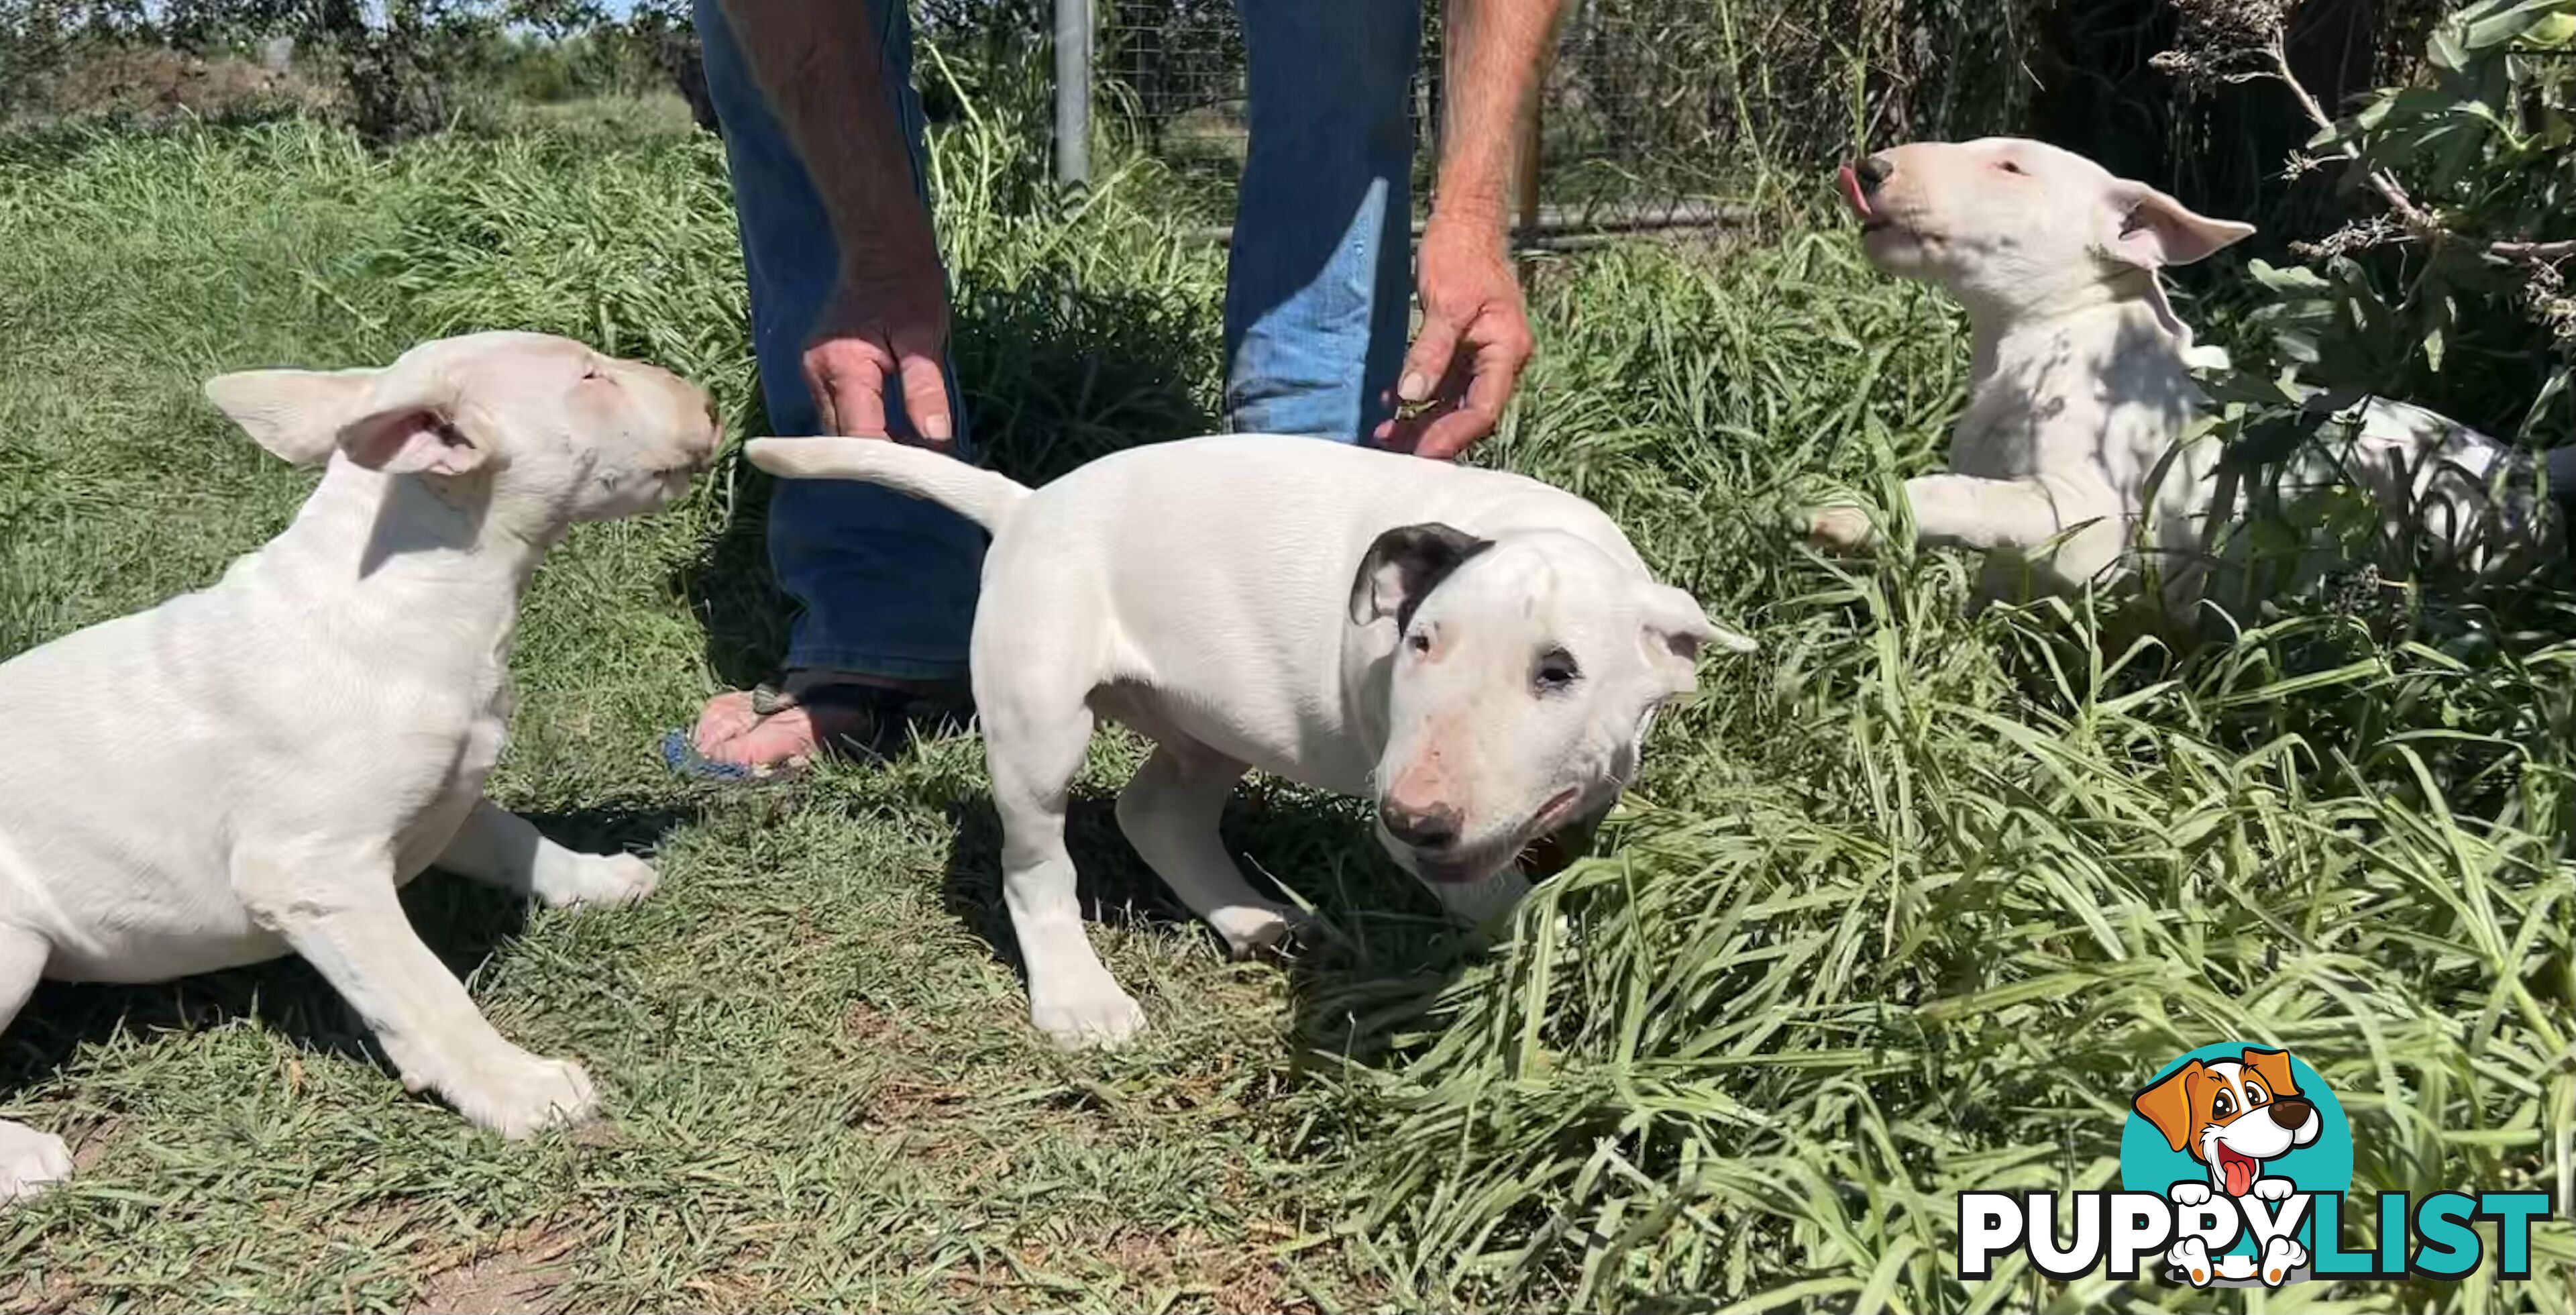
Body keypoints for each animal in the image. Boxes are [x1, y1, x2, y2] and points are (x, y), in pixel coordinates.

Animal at [2, 329, 726, 1201]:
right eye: (590, 375)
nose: (712, 404)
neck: (416, 591)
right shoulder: (315, 875)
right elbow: (426, 990)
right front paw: (519, 1088)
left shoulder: (452, 787)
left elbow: (514, 840)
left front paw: (601, 878)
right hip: (14, 943)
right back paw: (19, 1158)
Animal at [741, 435, 1752, 1052]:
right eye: (1421, 643)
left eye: (1559, 671)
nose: (1413, 819)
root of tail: (1027, 507)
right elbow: (1513, 905)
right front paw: (1562, 954)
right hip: (1039, 718)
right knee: (1037, 866)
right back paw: (1079, 997)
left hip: (1208, 718)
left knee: (1157, 811)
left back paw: (1254, 918)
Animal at [1813, 136, 2576, 619]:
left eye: (2010, 167)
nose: (1869, 168)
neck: (2043, 337)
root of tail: (2529, 466)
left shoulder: (2095, 520)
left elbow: (1971, 498)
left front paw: (1855, 515)